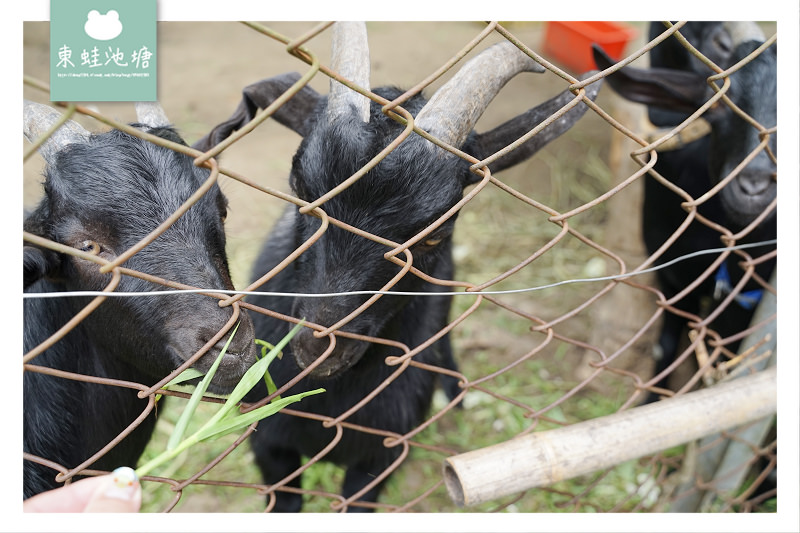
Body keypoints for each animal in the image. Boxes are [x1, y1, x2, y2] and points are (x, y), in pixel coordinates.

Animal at [592, 22, 776, 402]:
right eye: (716, 108)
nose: (753, 187)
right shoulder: (673, 274)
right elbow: (665, 345)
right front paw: (652, 400)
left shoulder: (750, 289)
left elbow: (725, 347)